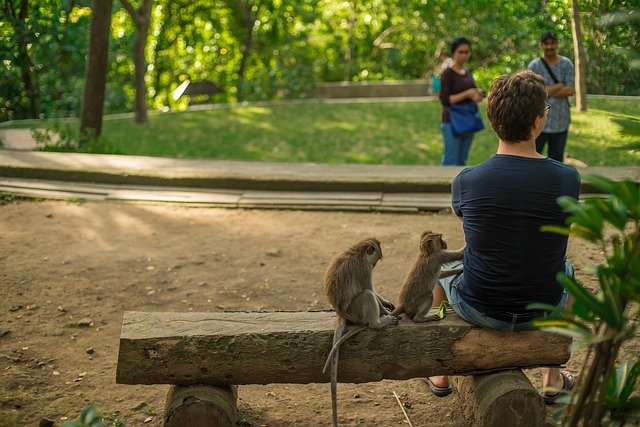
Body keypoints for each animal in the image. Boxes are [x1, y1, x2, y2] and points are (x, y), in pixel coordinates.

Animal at [322, 237, 398, 427]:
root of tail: (341, 313)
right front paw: (385, 312)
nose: (374, 265)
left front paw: (386, 303)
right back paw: (378, 323)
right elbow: (369, 289)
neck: (358, 253)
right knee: (366, 295)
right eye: (377, 259)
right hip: (356, 311)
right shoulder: (364, 269)